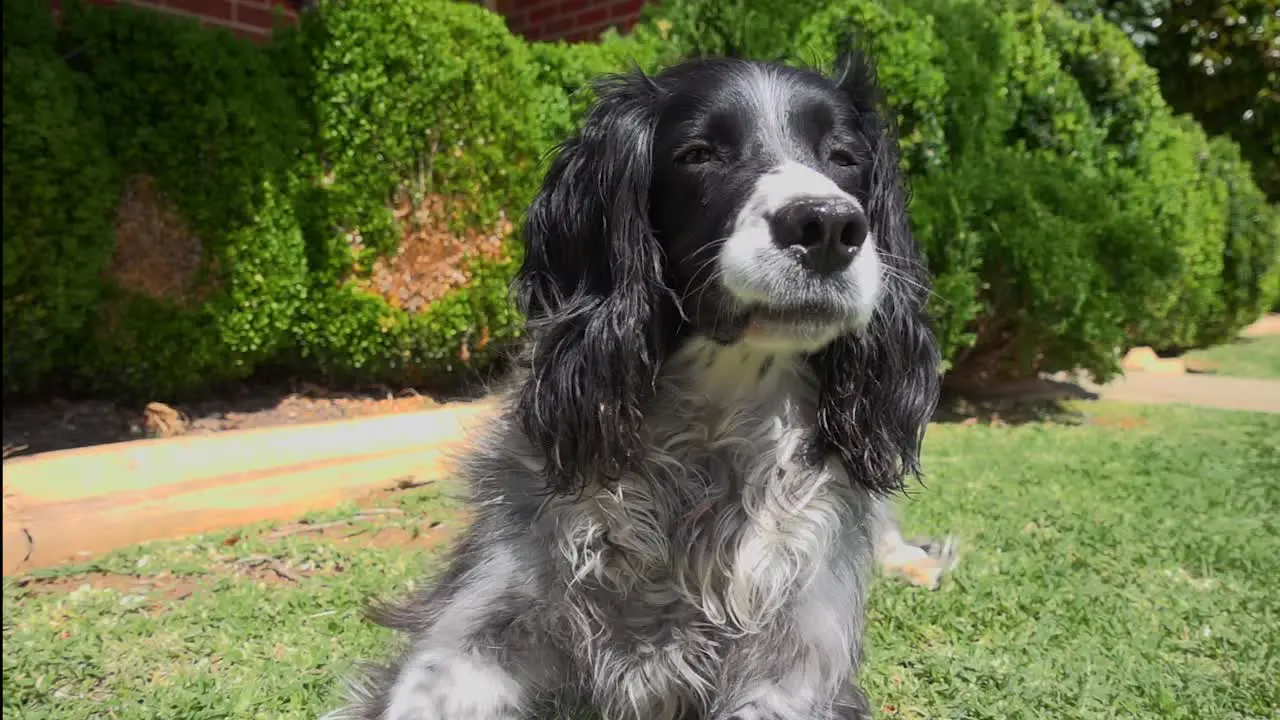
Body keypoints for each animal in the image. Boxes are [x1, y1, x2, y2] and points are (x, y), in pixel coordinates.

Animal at [327, 47, 952, 712]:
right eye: (699, 154)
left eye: (844, 158)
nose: (829, 227)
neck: (709, 443)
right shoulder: (474, 624)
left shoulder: (795, 664)